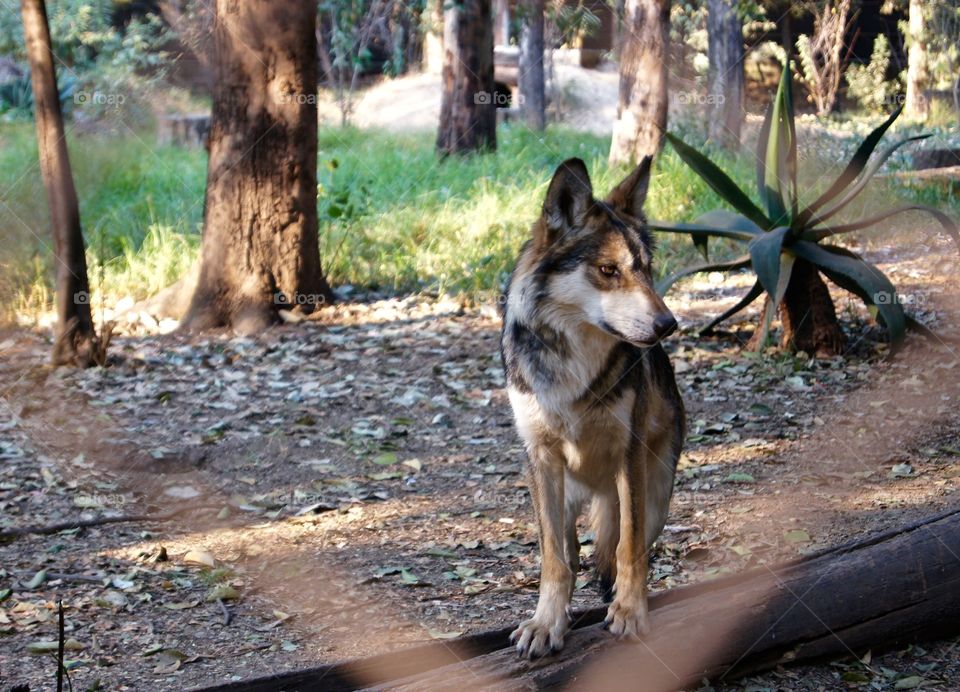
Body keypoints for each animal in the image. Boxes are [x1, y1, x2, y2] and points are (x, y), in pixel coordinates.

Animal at [500, 156, 685, 658]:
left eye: (646, 269)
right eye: (608, 270)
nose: (668, 324)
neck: (574, 362)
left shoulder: (629, 454)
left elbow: (629, 549)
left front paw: (630, 611)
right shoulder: (540, 457)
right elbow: (553, 562)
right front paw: (545, 624)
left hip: (655, 493)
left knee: (624, 545)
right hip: (560, 499)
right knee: (569, 551)